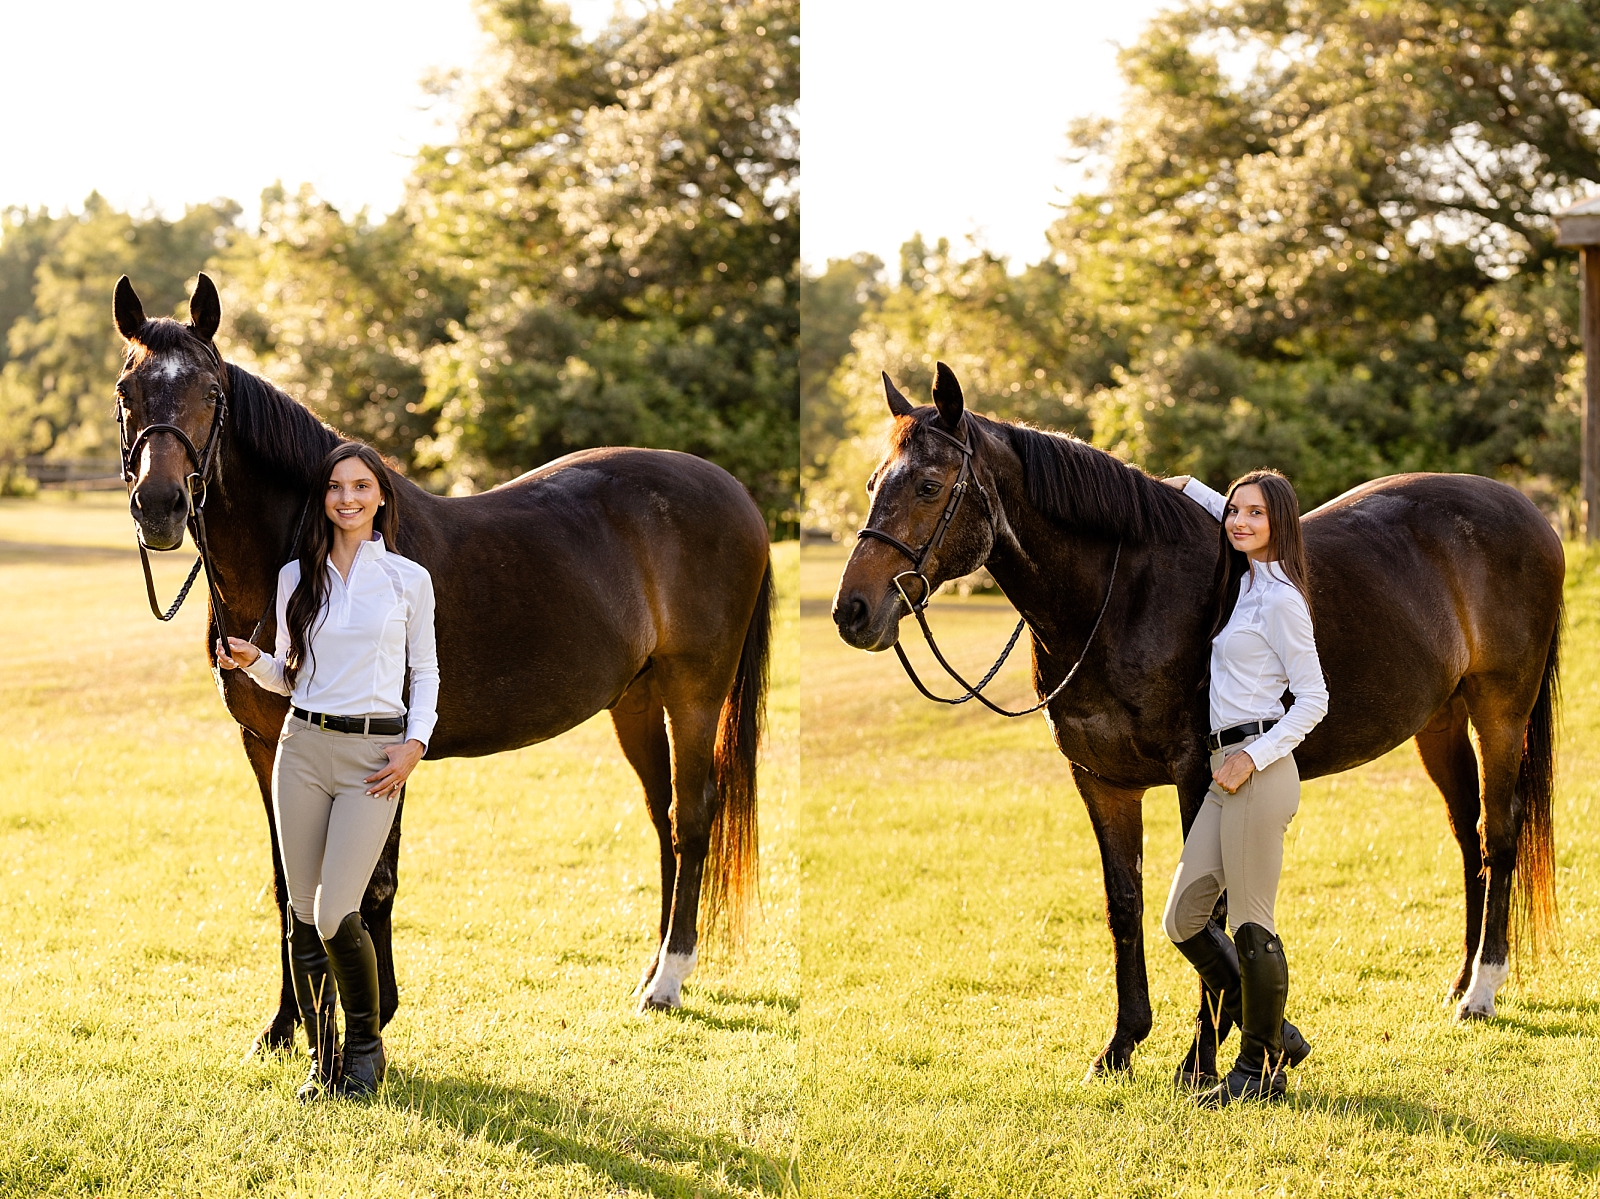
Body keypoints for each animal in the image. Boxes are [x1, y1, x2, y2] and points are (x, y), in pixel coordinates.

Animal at [116, 273, 771, 1050]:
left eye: (211, 391)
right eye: (127, 388)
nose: (158, 506)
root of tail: (734, 493)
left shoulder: (385, 750)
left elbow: (370, 881)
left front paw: (372, 1013)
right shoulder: (264, 743)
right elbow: (288, 880)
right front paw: (282, 1027)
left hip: (695, 693)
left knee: (693, 819)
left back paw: (668, 981)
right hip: (637, 702)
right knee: (662, 816)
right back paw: (651, 972)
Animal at [832, 361, 1555, 1075]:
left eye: (929, 485)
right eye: (872, 484)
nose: (852, 611)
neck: (1122, 598)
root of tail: (1529, 512)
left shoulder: (1198, 773)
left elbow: (1208, 907)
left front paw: (1209, 1055)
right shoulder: (1100, 781)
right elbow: (1125, 903)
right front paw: (1122, 1044)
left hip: (1499, 712)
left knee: (1500, 836)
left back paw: (1482, 991)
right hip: (1439, 722)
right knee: (1467, 837)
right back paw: (1459, 981)